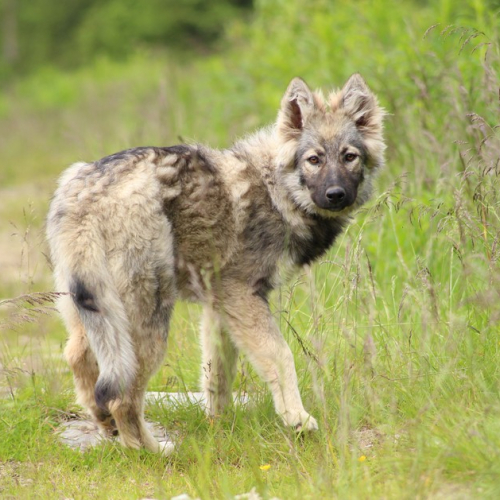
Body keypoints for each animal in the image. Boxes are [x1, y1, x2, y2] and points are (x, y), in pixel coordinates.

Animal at [46, 73, 382, 454]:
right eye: (314, 160)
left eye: (349, 157)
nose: (335, 195)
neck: (276, 191)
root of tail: (87, 189)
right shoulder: (242, 297)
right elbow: (281, 357)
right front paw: (297, 418)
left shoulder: (218, 308)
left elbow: (218, 377)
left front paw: (220, 426)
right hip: (148, 329)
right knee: (122, 397)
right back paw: (152, 451)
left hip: (94, 317)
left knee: (80, 362)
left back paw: (108, 428)